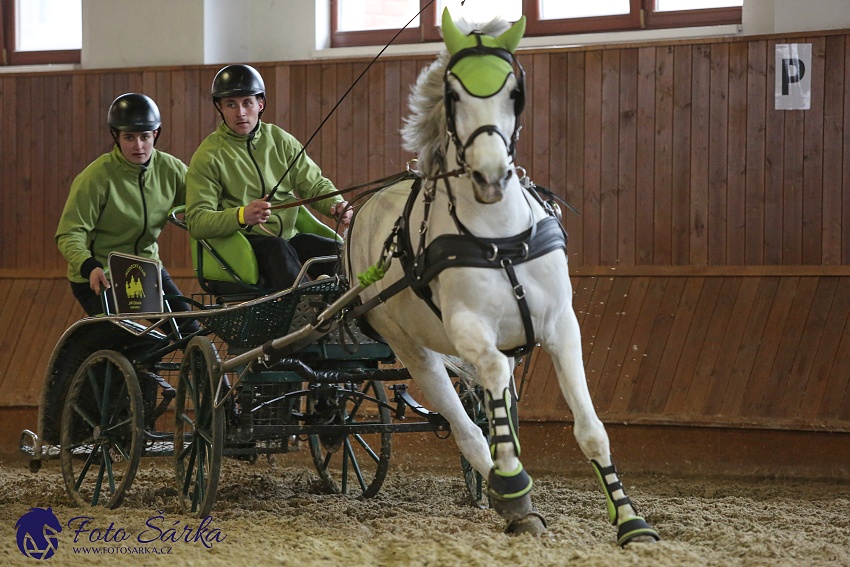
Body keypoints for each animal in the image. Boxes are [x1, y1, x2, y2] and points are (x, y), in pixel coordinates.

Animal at [342, 6, 656, 544]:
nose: (491, 176)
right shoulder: (467, 327)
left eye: (515, 93)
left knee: (494, 410)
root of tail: (364, 209)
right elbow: (487, 377)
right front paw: (510, 484)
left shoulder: (560, 325)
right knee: (466, 426)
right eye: (453, 95)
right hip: (412, 349)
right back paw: (508, 492)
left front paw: (630, 521)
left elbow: (590, 428)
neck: (500, 239)